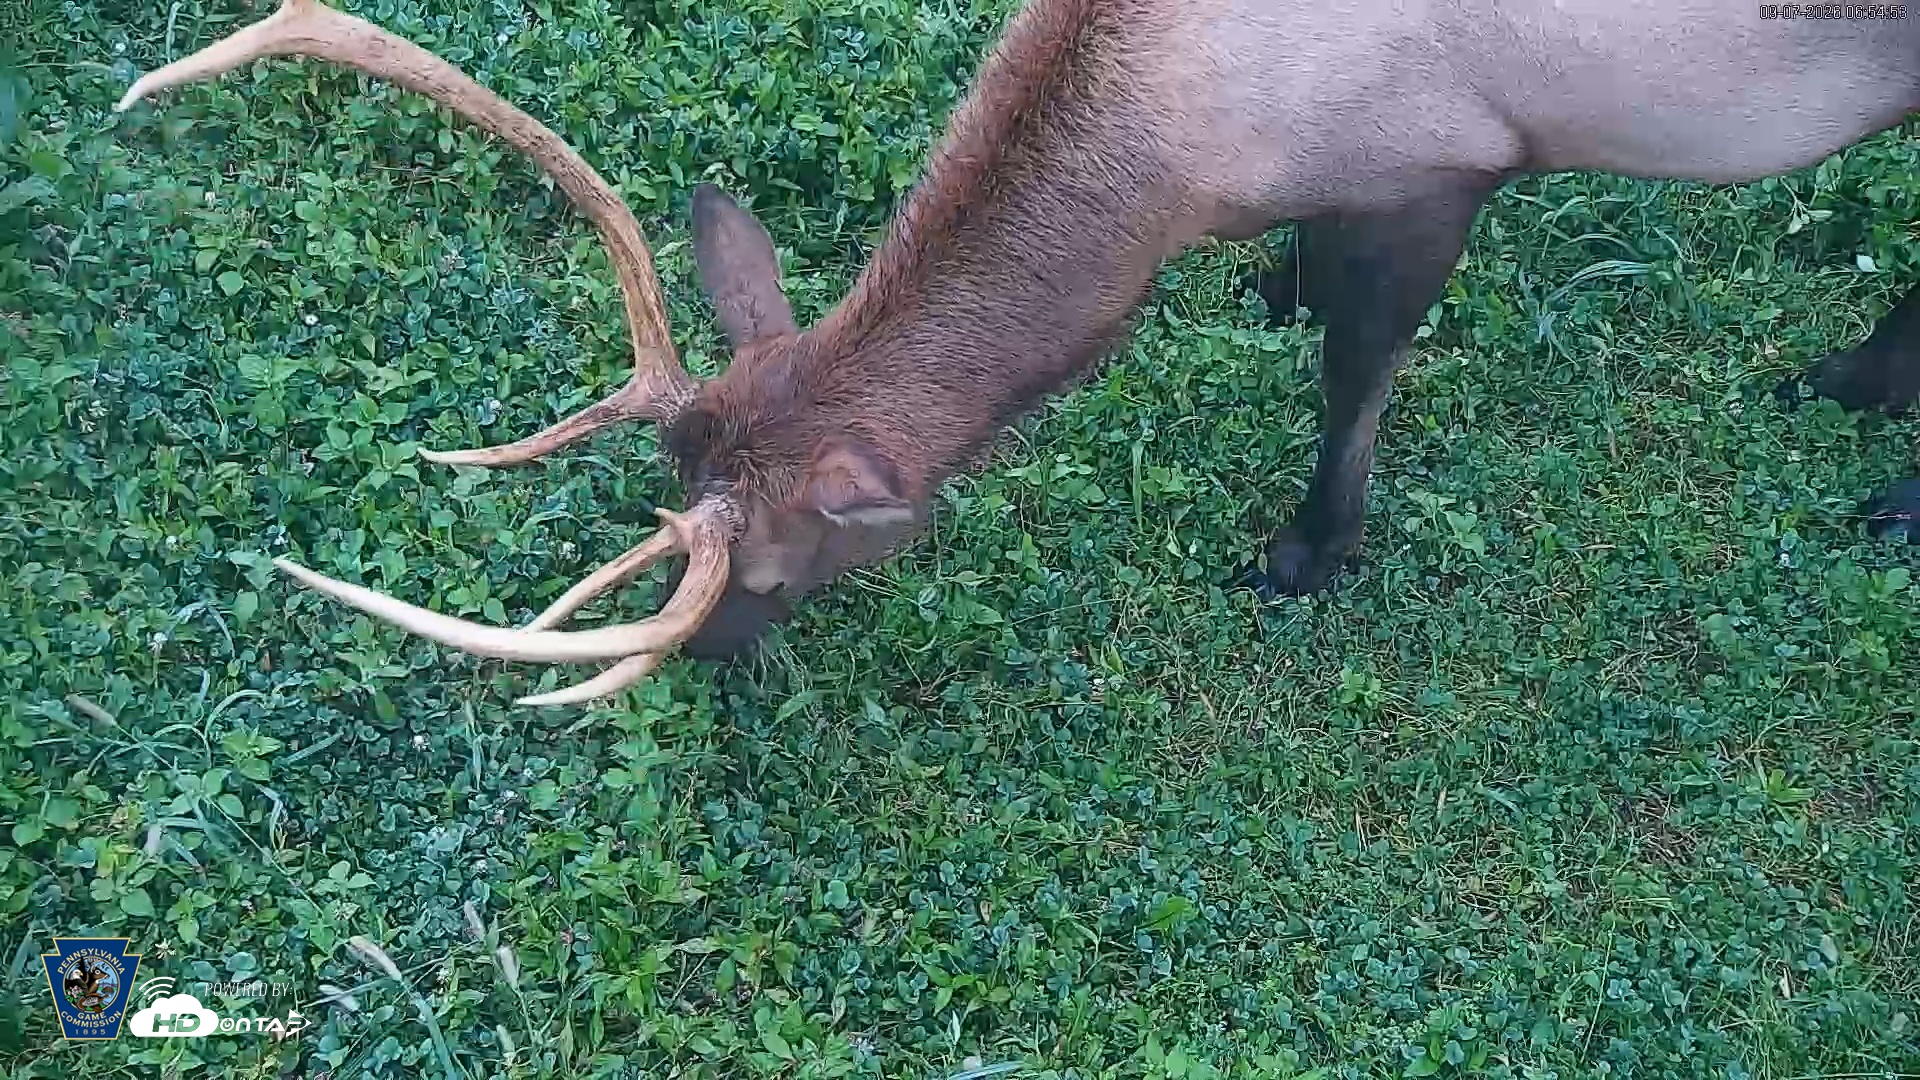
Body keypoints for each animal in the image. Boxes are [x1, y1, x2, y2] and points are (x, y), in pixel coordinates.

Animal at [115, 0, 1920, 705]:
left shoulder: (1448, 162)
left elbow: (1358, 378)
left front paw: (1307, 554)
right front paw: (1265, 300)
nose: (713, 674)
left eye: (781, 569)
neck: (1204, 155)